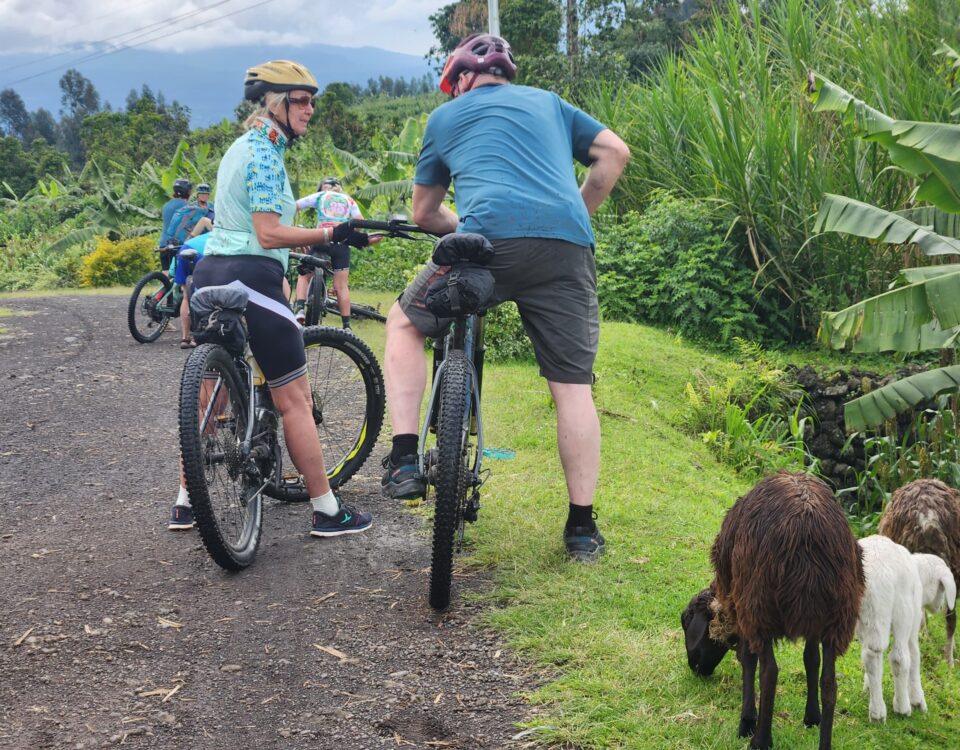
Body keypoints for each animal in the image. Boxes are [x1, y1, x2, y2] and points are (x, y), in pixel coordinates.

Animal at [708, 472, 868, 748]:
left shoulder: (741, 605)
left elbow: (747, 658)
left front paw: (747, 721)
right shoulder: (815, 625)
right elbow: (811, 660)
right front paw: (812, 717)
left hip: (760, 604)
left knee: (770, 672)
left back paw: (761, 740)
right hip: (839, 614)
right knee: (829, 684)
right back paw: (824, 742)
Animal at [860, 536, 928, 724]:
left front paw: (868, 685)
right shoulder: (913, 620)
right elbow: (915, 655)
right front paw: (917, 699)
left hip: (870, 613)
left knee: (870, 654)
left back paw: (876, 709)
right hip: (902, 611)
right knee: (899, 657)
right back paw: (900, 707)